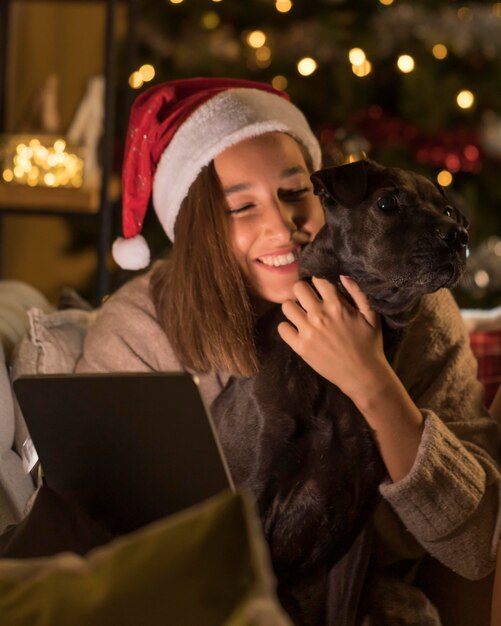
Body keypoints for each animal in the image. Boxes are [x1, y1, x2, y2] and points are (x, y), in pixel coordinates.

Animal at [211, 158, 468, 620]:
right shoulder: (253, 501)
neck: (332, 380)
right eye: (387, 203)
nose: (460, 235)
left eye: (449, 211)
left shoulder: (356, 526)